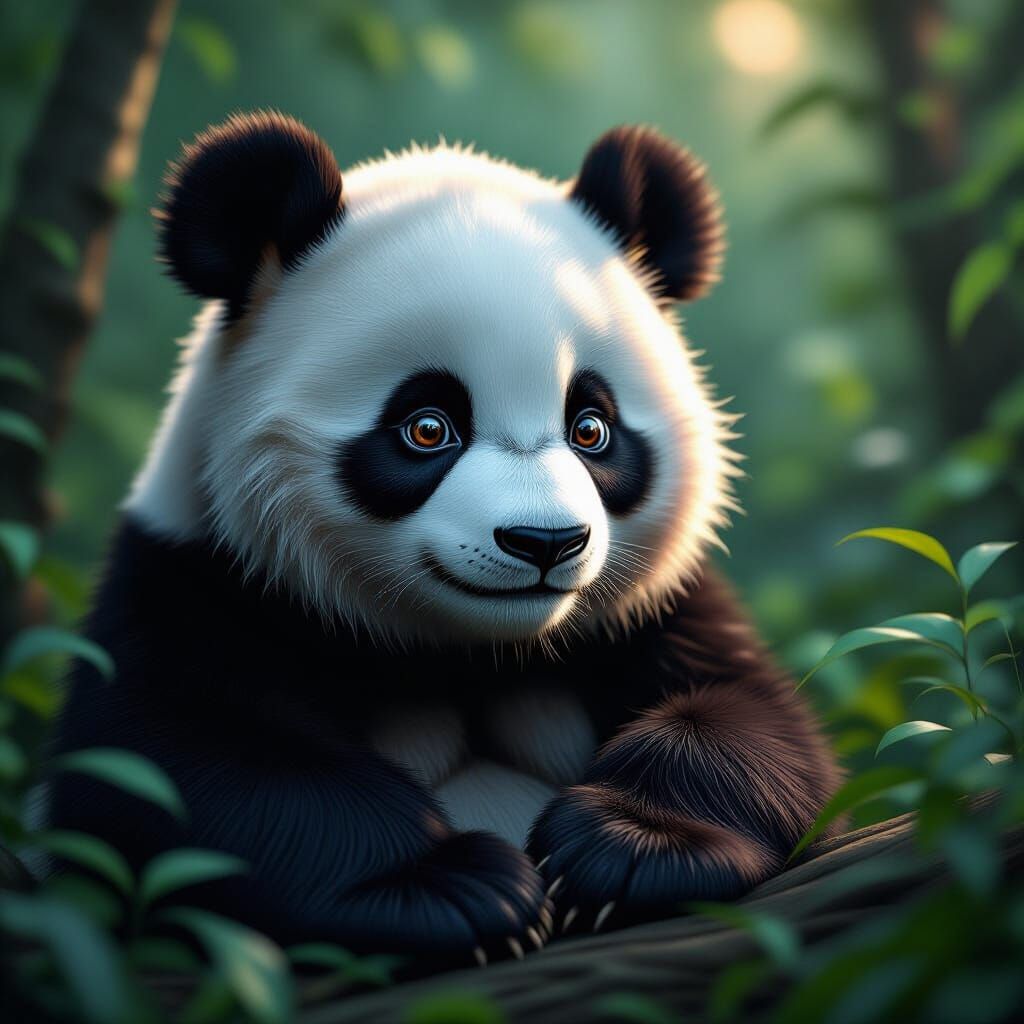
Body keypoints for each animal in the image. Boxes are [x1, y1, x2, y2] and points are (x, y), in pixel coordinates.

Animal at [49, 112, 840, 964]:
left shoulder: (657, 611)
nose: (545, 541)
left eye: (591, 427)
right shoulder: (198, 580)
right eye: (427, 427)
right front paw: (455, 889)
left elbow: (750, 723)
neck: (469, 652)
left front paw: (627, 847)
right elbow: (184, 766)